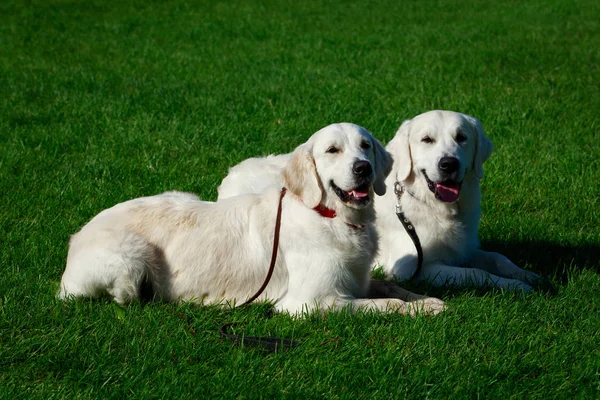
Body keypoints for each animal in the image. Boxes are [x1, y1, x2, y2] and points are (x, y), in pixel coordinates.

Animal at [58, 122, 446, 316]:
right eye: (332, 150)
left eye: (365, 146)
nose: (363, 168)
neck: (331, 218)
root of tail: (75, 238)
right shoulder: (308, 303)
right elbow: (382, 305)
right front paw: (414, 309)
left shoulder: (358, 279)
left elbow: (390, 288)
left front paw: (426, 301)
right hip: (130, 258)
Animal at [218, 111, 540, 290]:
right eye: (427, 140)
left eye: (462, 137)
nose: (449, 164)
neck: (431, 205)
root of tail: (231, 173)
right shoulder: (412, 269)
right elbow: (475, 273)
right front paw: (514, 286)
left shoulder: (465, 248)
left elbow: (497, 257)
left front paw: (526, 275)